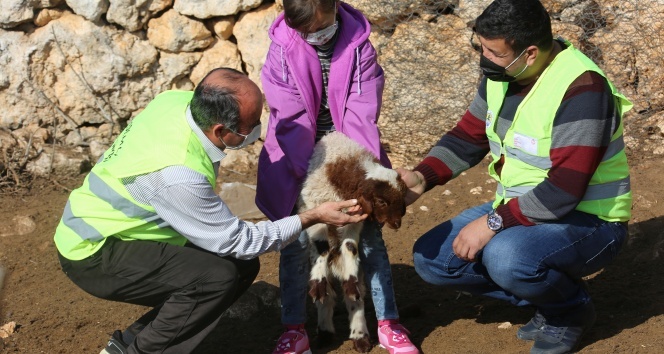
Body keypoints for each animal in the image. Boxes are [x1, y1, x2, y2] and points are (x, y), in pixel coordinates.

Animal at [298, 132, 408, 352]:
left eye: (401, 199)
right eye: (381, 201)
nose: (396, 223)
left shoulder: (353, 218)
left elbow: (350, 247)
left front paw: (350, 282)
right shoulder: (315, 207)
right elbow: (321, 248)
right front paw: (317, 284)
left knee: (355, 299)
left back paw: (360, 337)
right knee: (326, 297)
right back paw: (325, 332)